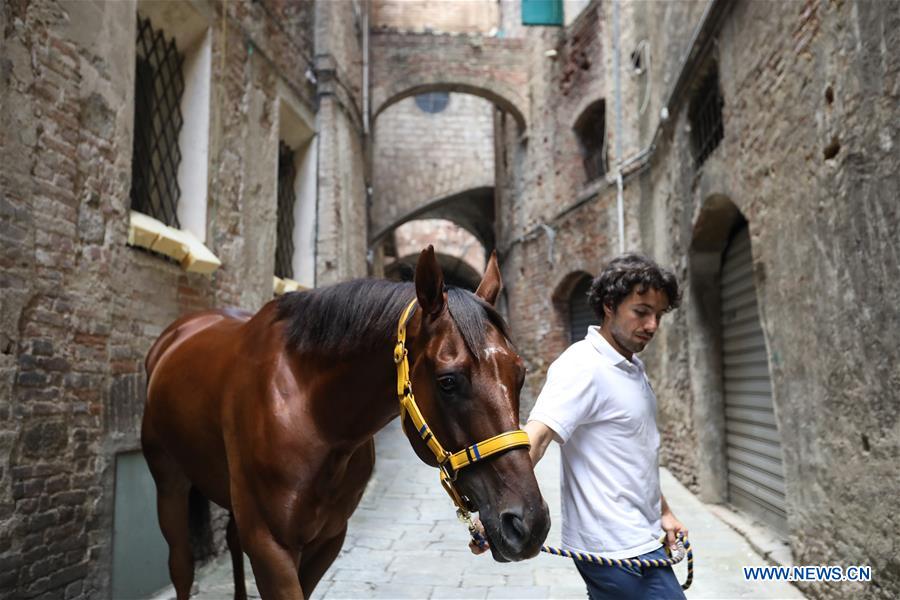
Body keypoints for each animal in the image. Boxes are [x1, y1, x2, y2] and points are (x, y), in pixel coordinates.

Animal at [142, 246, 548, 596]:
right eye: (448, 381)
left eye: (520, 374)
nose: (529, 523)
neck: (315, 417)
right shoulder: (269, 545)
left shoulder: (328, 539)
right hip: (169, 481)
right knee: (181, 565)